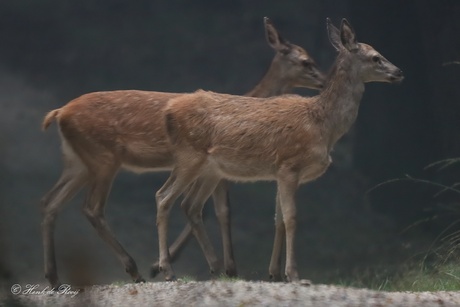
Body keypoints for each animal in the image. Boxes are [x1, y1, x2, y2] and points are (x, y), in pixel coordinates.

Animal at [41, 17, 326, 288]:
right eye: (305, 61)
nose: (324, 81)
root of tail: (59, 112)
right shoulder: (212, 169)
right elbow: (215, 211)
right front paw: (217, 267)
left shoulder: (212, 171)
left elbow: (209, 210)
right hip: (104, 159)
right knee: (92, 208)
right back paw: (134, 270)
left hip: (78, 162)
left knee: (50, 201)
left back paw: (55, 278)